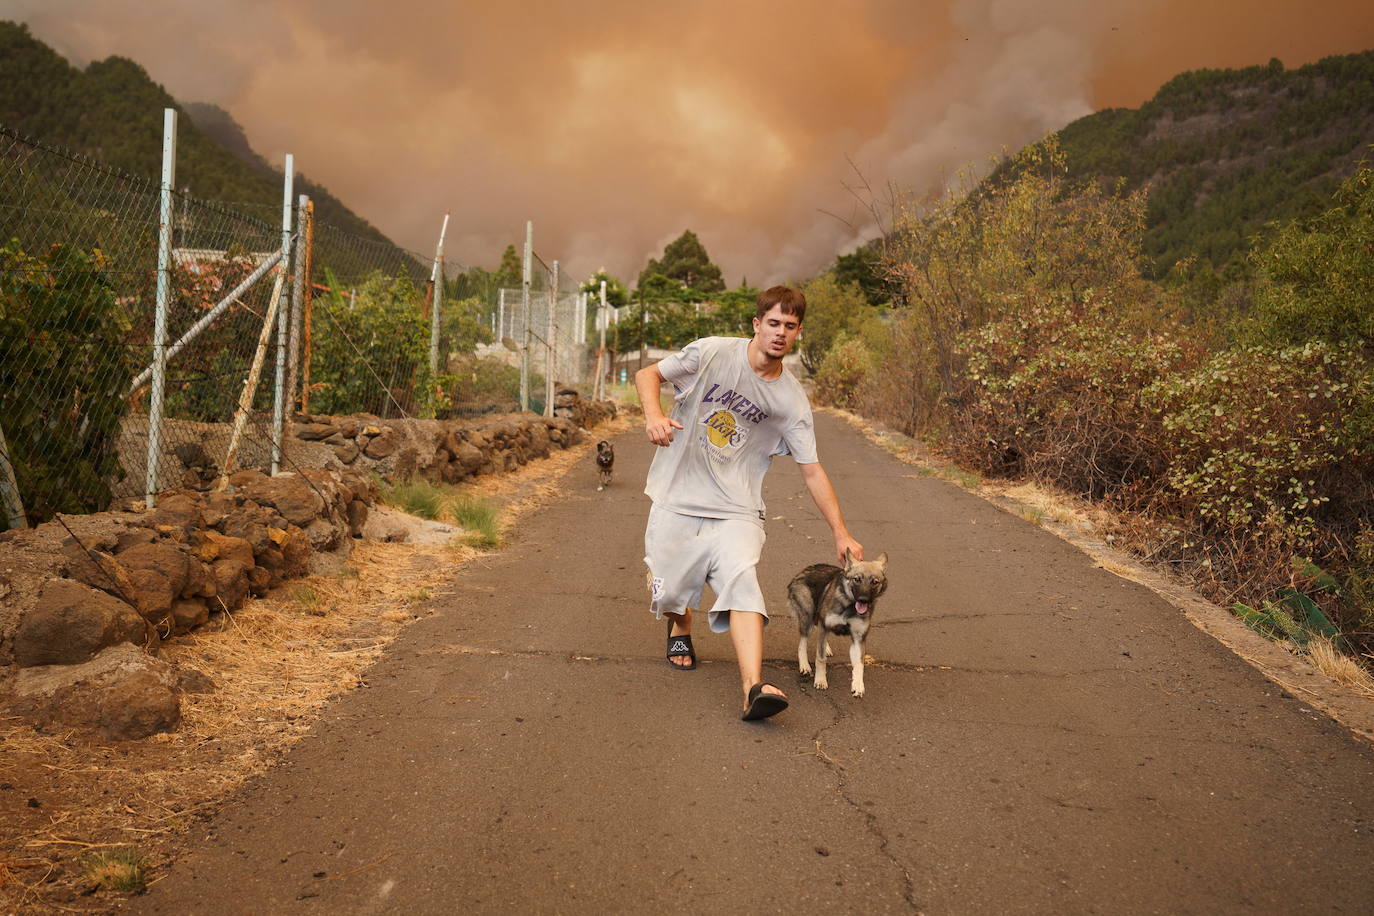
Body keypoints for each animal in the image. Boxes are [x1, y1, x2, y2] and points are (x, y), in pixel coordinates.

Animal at [785, 552, 890, 694]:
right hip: (808, 618)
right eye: (857, 579)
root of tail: (803, 571)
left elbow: (859, 665)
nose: (863, 600)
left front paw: (858, 685)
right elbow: (820, 658)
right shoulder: (824, 625)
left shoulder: (858, 639)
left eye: (874, 582)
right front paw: (820, 680)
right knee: (803, 642)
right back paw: (804, 665)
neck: (849, 606)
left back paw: (826, 648)